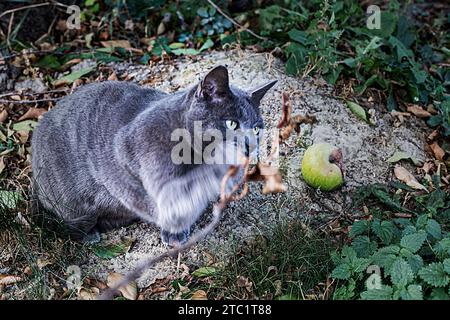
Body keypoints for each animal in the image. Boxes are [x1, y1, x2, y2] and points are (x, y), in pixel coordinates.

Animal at [31, 65, 276, 245]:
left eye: (257, 128)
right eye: (232, 123)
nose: (250, 145)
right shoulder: (120, 160)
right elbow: (154, 202)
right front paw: (174, 231)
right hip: (71, 202)